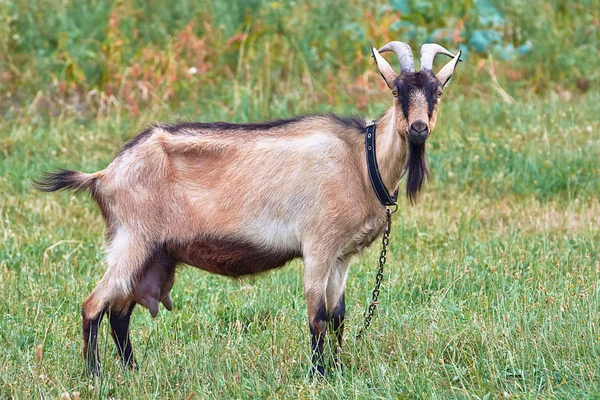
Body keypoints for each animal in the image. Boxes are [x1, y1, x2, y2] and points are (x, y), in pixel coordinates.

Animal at [35, 40, 462, 376]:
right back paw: (95, 376)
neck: (360, 159)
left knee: (120, 311)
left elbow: (338, 315)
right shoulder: (318, 246)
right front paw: (318, 376)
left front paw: (339, 370)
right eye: (396, 91)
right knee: (94, 305)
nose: (419, 128)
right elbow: (317, 316)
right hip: (132, 239)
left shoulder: (342, 256)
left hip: (151, 251)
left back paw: (132, 371)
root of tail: (104, 174)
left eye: (437, 92)